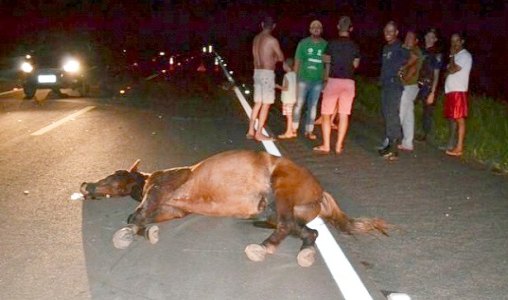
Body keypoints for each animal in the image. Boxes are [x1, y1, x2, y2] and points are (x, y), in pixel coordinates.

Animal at [81, 150, 386, 268]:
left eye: (112, 176)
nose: (85, 185)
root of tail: (321, 192)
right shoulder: (171, 209)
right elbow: (146, 218)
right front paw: (146, 232)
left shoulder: (159, 190)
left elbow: (136, 216)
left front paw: (128, 233)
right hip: (275, 210)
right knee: (306, 232)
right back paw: (305, 252)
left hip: (282, 191)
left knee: (287, 226)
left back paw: (262, 248)